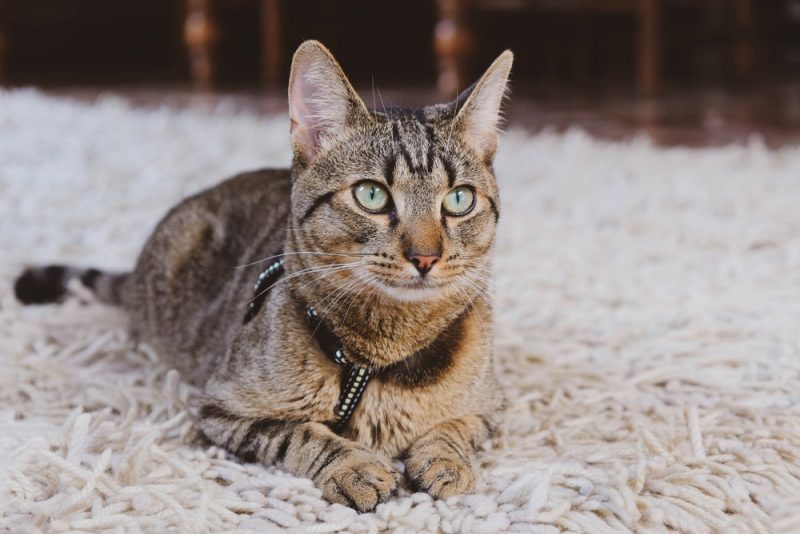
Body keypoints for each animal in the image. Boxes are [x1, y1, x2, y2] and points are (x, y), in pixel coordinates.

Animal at [15, 39, 512, 512]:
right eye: (371, 195)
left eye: (459, 200)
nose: (425, 257)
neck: (385, 352)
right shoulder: (224, 409)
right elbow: (304, 433)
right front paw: (353, 467)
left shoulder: (490, 407)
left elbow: (454, 428)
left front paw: (444, 460)